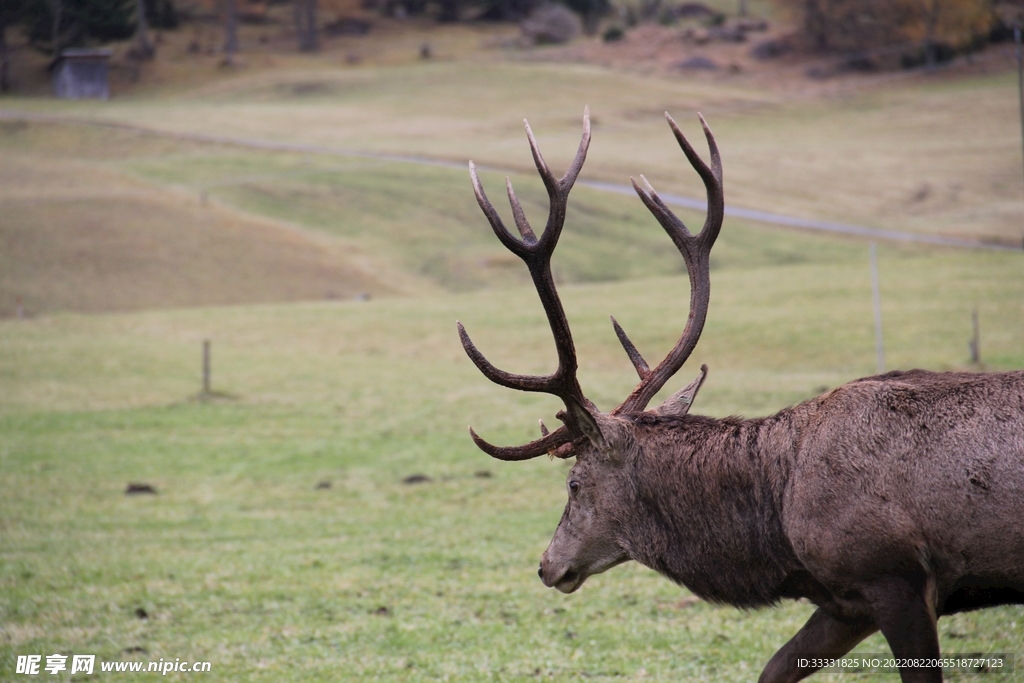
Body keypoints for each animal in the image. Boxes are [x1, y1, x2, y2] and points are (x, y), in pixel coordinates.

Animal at [455, 108, 1024, 683]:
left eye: (573, 484)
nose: (547, 565)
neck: (780, 525)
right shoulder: (847, 600)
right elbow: (774, 669)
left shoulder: (892, 574)